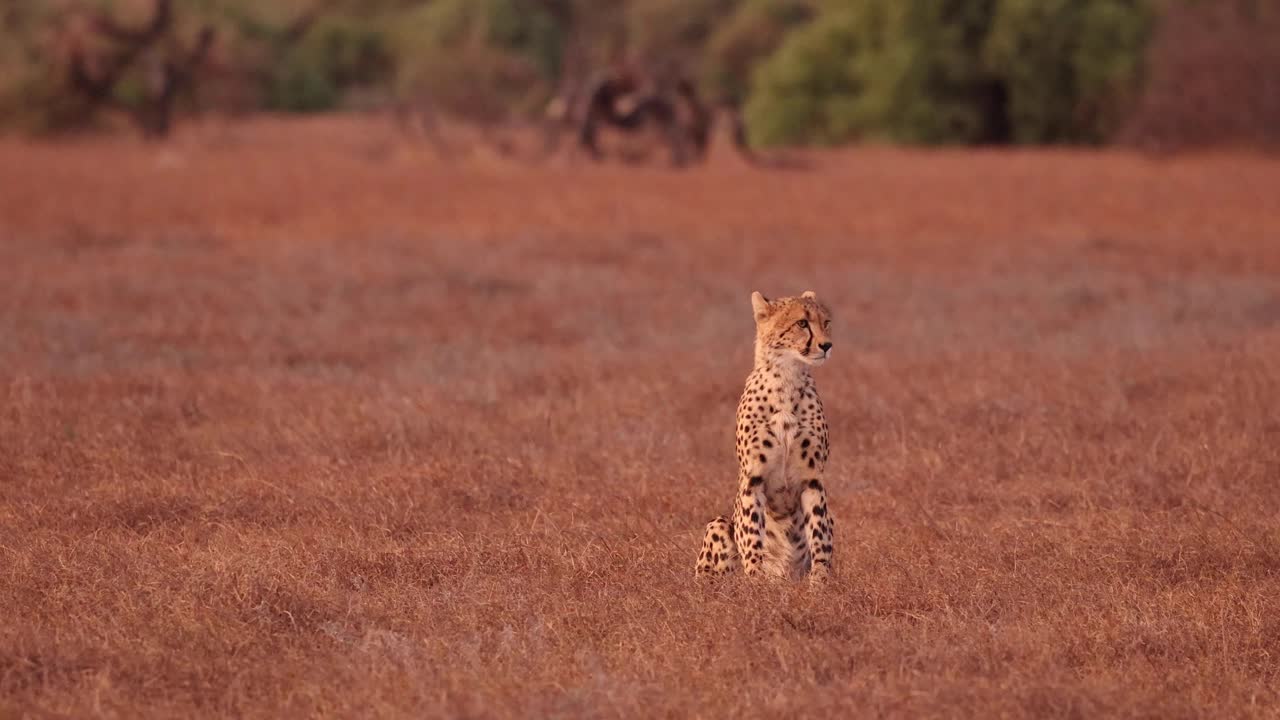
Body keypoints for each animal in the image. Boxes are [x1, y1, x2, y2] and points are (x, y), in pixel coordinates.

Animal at [695, 290, 836, 584]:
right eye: (802, 323)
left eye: (826, 322)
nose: (827, 345)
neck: (786, 381)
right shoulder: (753, 477)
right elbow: (751, 535)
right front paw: (755, 581)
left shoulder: (813, 478)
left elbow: (819, 535)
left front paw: (820, 583)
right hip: (718, 525)